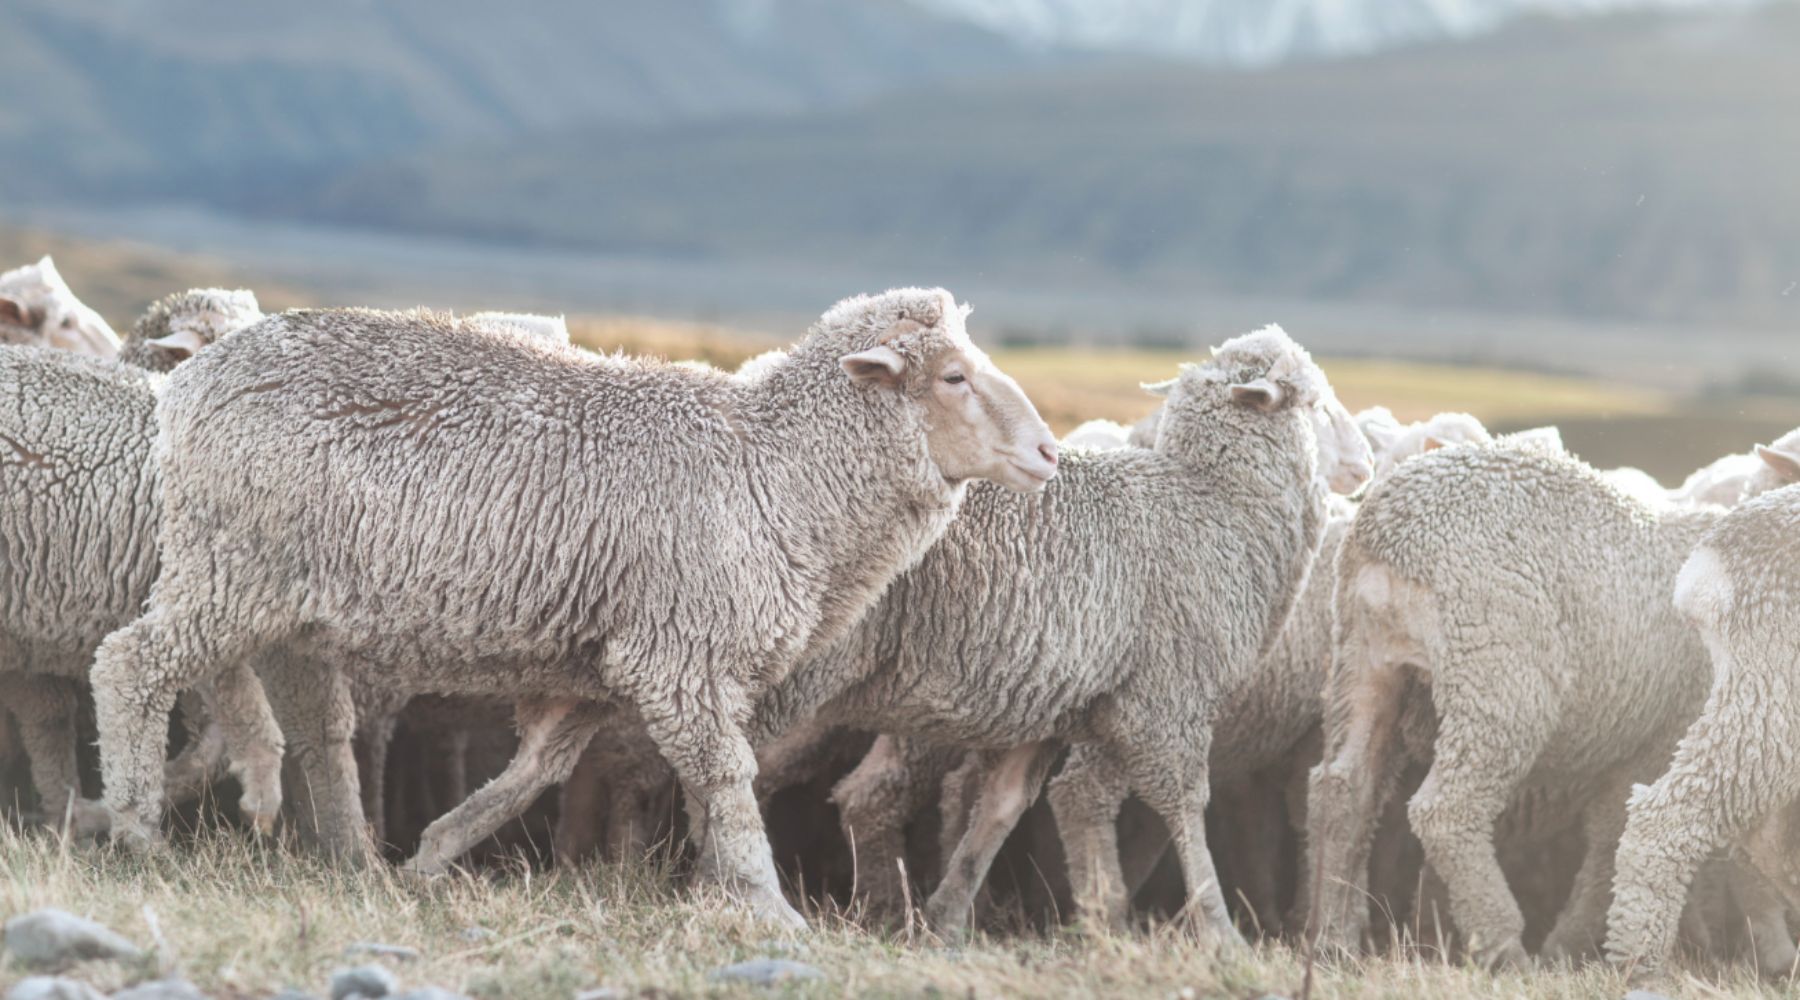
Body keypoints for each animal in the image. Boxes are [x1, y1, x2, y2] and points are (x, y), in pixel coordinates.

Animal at [89, 290, 1058, 927]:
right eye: (954, 377)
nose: (1050, 452)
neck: (775, 471)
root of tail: (189, 385)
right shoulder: (680, 655)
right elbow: (726, 780)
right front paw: (764, 904)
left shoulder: (608, 661)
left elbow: (538, 770)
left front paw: (437, 850)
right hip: (231, 567)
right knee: (129, 664)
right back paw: (136, 829)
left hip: (289, 600)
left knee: (317, 727)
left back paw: (353, 859)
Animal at [752, 325, 1357, 944]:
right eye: (1317, 404)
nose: (1365, 462)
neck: (1216, 508)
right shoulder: (1165, 700)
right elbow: (1185, 809)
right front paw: (1217, 930)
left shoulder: (1052, 705)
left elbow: (1000, 811)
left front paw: (948, 916)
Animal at [1301, 441, 1775, 970]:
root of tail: (1389, 531)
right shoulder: (1662, 735)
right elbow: (1614, 839)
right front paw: (1570, 944)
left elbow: (1612, 837)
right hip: (1499, 673)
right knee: (1446, 810)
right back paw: (1503, 946)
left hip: (1363, 662)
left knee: (1343, 790)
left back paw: (1333, 940)